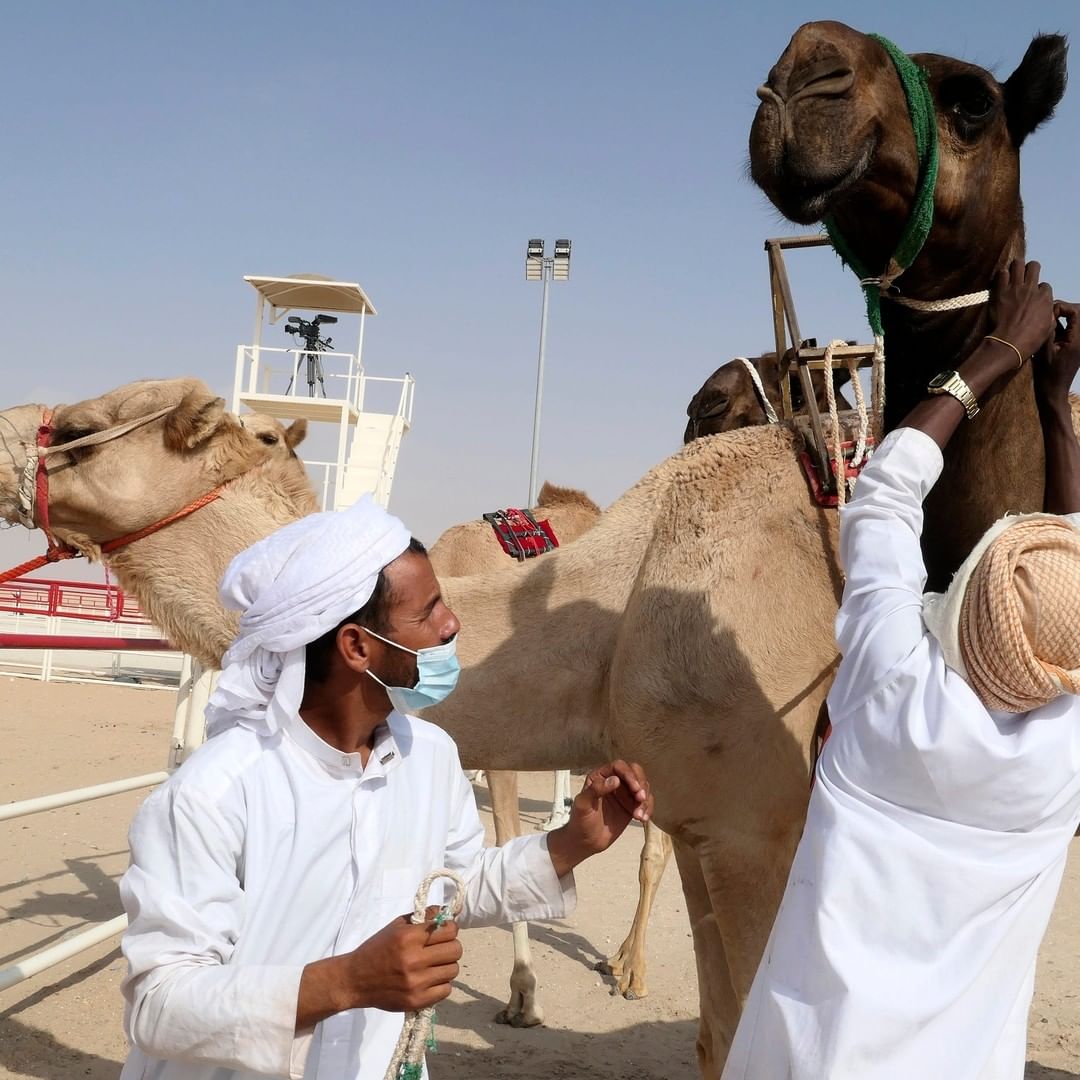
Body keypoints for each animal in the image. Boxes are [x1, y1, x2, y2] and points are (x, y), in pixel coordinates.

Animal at [0, 25, 1067, 1079]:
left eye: (83, 430)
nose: (13, 429)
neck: (631, 598)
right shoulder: (709, 814)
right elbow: (715, 1026)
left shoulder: (759, 820)